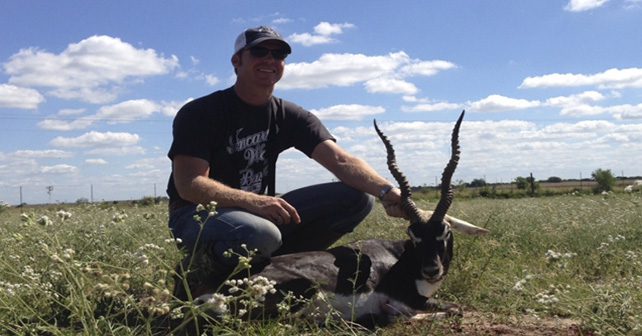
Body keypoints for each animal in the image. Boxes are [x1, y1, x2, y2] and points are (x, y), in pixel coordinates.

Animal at [189, 110, 484, 328]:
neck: (400, 257)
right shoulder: (409, 300)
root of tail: (206, 296)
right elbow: (455, 308)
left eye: (445, 232)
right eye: (414, 234)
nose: (431, 270)